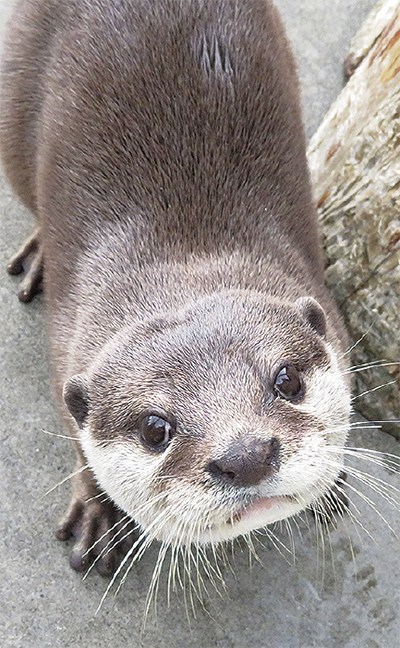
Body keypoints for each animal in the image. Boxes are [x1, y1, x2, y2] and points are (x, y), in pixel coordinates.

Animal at [0, 0, 350, 576]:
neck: (183, 259)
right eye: (154, 429)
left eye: (289, 380)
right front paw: (96, 511)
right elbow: (79, 441)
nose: (246, 456)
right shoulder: (65, 357)